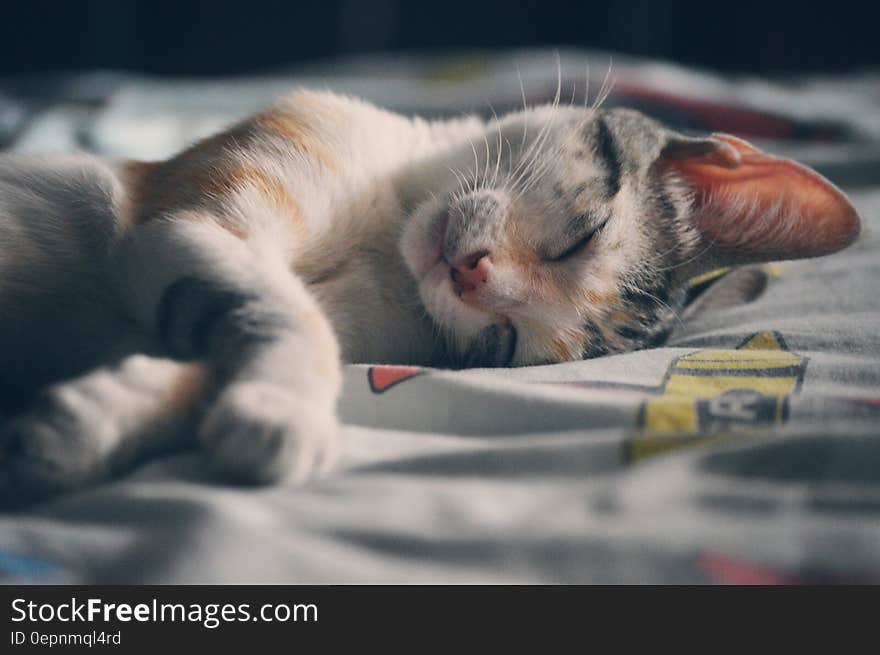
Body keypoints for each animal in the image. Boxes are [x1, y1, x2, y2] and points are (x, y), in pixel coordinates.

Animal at [0, 88, 860, 502]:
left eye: (503, 341)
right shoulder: (188, 218)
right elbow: (290, 315)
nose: (473, 275)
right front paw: (284, 412)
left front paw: (86, 423)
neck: (388, 238)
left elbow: (214, 348)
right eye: (582, 235)